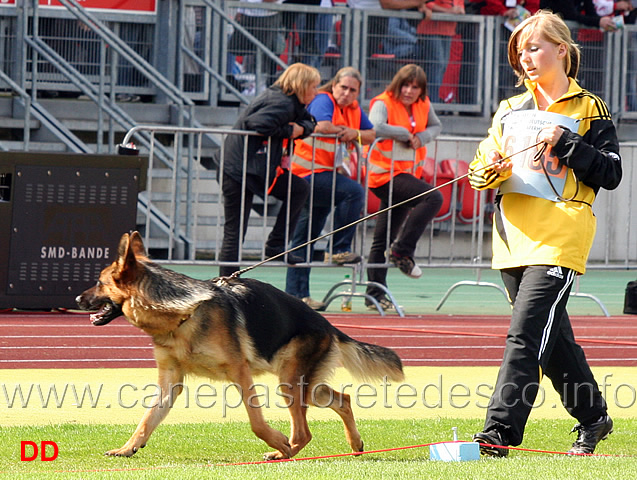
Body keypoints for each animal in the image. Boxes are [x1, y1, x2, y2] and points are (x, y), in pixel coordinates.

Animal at [74, 232, 402, 462]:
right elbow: (147, 419)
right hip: (303, 385)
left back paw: (284, 451)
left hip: (290, 383)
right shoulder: (171, 382)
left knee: (304, 432)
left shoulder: (240, 372)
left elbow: (256, 422)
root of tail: (327, 324)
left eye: (100, 282)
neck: (181, 314)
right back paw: (353, 444)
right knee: (342, 400)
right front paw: (128, 448)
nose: (77, 299)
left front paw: (276, 440)